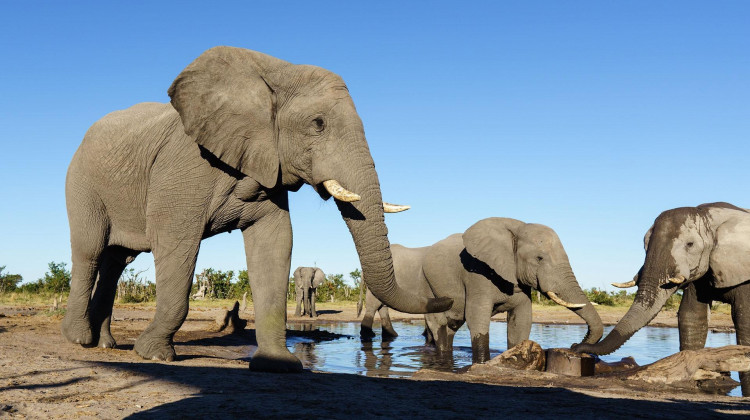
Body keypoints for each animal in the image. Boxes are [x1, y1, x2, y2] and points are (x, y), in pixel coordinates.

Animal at [60, 46, 452, 374]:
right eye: (318, 124)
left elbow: (275, 244)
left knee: (117, 261)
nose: (447, 299)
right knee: (90, 251)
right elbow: (176, 242)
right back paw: (79, 339)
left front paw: (278, 366)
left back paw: (106, 345)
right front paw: (154, 355)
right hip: (81, 182)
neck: (274, 73)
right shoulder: (184, 165)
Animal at [360, 218, 604, 362]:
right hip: (426, 281)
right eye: (539, 258)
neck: (516, 227)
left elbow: (522, 319)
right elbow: (477, 316)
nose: (575, 346)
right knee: (436, 322)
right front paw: (482, 362)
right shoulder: (477, 273)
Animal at [576, 202, 750, 396]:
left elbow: (744, 319)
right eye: (645, 245)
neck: (709, 215)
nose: (575, 347)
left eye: (690, 244)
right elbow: (693, 317)